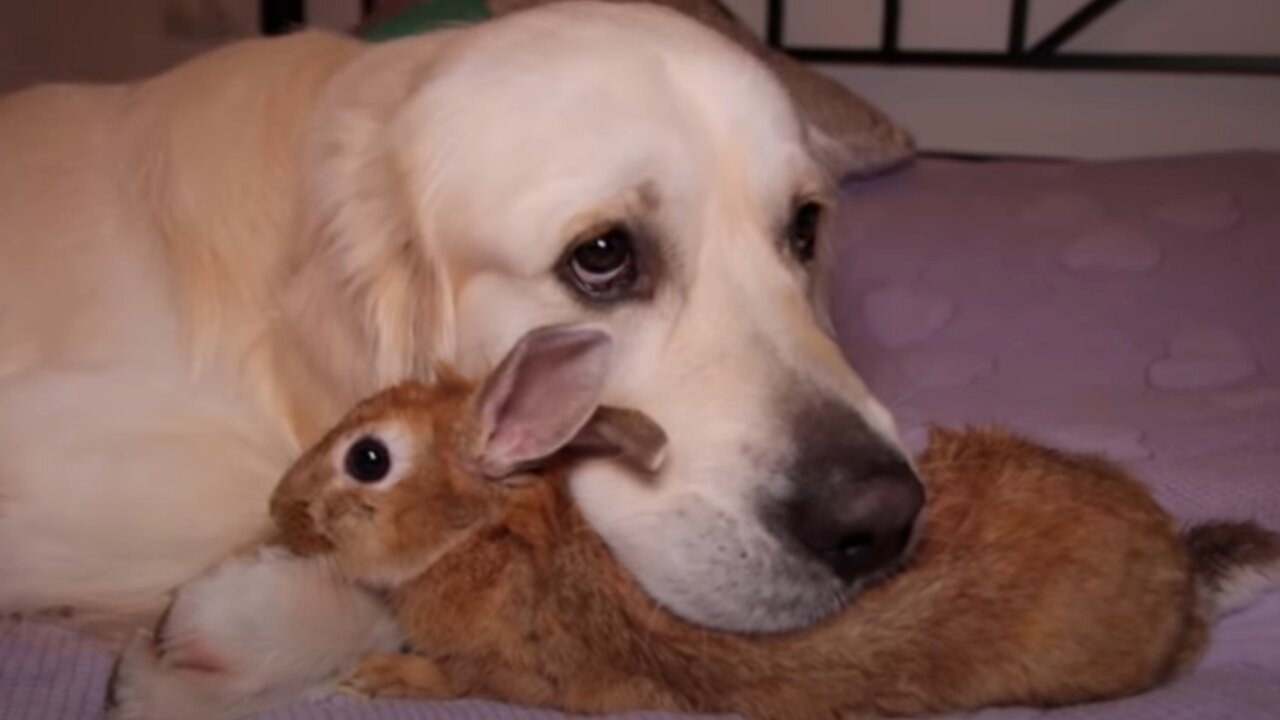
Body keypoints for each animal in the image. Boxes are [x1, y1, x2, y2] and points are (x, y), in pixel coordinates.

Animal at [264, 325, 1274, 717]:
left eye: (368, 459)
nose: (279, 515)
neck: (479, 529)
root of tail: (1178, 570)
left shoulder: (511, 675)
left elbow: (453, 680)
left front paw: (373, 677)